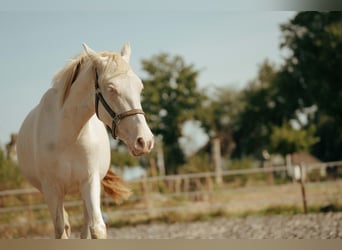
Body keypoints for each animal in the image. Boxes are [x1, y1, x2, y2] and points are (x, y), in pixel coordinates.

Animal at [16, 43, 153, 238]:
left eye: (139, 87)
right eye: (111, 88)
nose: (144, 141)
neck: (68, 135)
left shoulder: (89, 180)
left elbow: (97, 228)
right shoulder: (51, 189)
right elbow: (60, 229)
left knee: (86, 224)